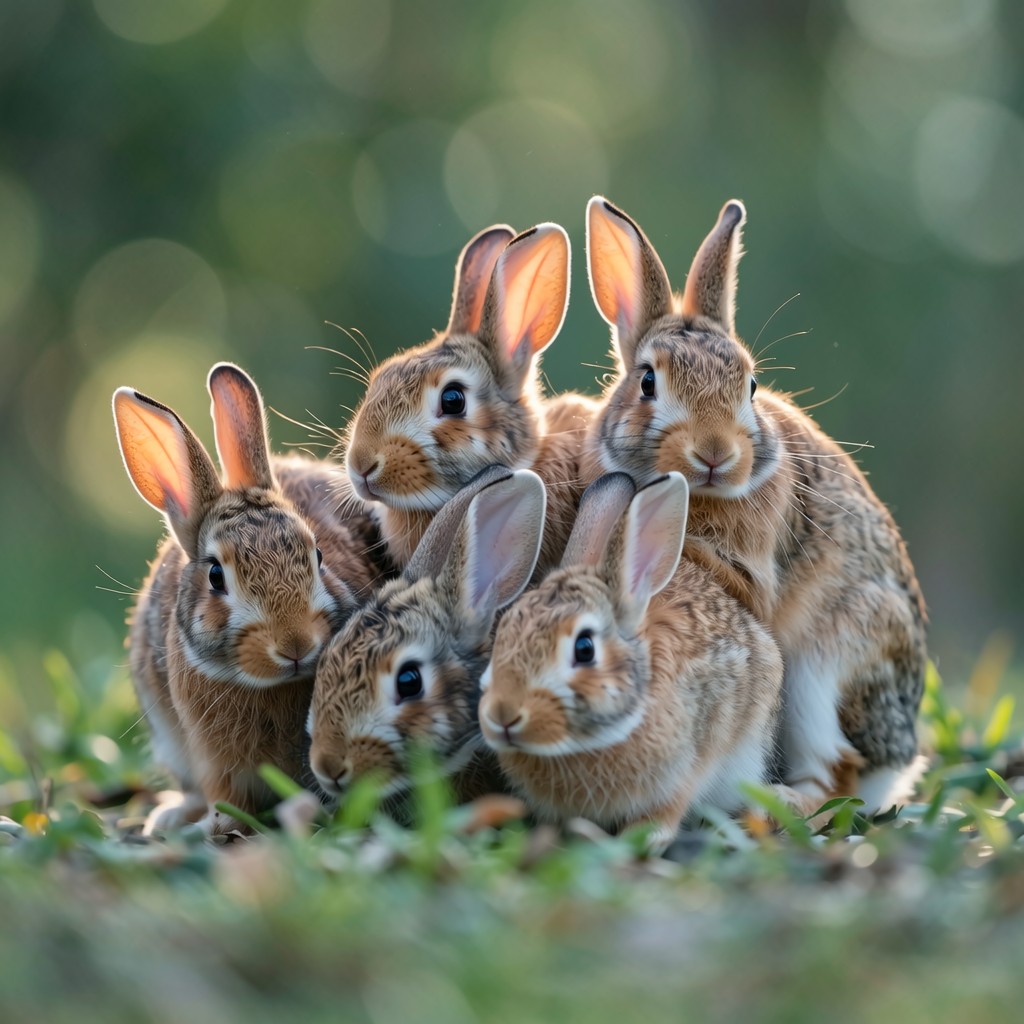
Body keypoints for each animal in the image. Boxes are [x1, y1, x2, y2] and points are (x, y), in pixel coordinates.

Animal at [115, 362, 393, 835]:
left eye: (318, 556)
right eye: (215, 576)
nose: (295, 645)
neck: (267, 685)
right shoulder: (215, 763)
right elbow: (226, 800)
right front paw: (211, 825)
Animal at [478, 472, 814, 854]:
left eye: (584, 648)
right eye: (502, 634)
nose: (503, 715)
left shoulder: (685, 771)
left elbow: (666, 813)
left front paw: (642, 842)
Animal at [582, 196, 929, 813]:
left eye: (749, 386)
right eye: (647, 382)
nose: (715, 452)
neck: (700, 493)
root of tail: (899, 763)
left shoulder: (755, 574)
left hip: (826, 671)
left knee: (836, 781)